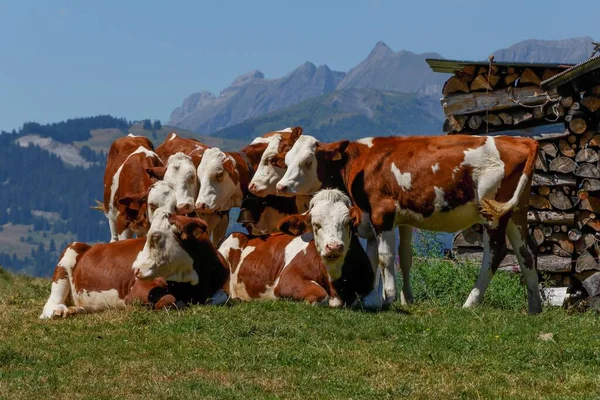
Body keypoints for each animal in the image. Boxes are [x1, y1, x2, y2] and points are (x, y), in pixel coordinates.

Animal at [39, 209, 227, 318]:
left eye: (156, 236)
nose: (135, 269)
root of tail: (90, 246)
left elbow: (222, 297)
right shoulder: (138, 290)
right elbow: (169, 299)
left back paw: (75, 310)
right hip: (69, 254)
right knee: (50, 304)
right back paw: (59, 311)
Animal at [276, 136, 544, 314]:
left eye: (308, 161)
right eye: (287, 161)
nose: (281, 186)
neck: (361, 163)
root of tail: (520, 140)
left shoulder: (382, 214)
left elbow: (385, 258)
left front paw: (388, 298)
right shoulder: (393, 220)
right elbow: (399, 257)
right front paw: (398, 298)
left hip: (492, 214)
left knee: (496, 253)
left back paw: (470, 302)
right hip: (516, 212)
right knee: (527, 253)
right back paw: (534, 307)